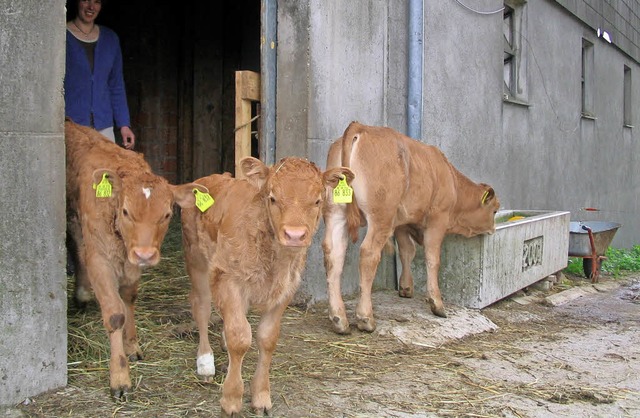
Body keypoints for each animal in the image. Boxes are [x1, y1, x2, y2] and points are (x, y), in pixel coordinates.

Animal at [65, 118, 206, 398]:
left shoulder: (132, 263)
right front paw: (120, 377)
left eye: (166, 214)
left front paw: (131, 346)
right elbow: (115, 314)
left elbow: (129, 299)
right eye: (126, 211)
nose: (145, 254)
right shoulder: (100, 258)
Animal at [181, 156, 356, 414]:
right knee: (201, 307)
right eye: (272, 198)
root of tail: (211, 178)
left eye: (317, 200)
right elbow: (240, 338)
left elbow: (267, 338)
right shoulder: (227, 278)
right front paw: (231, 399)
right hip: (197, 261)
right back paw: (205, 362)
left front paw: (261, 397)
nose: (295, 235)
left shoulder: (285, 290)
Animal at [322, 121, 498, 334]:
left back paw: (339, 319)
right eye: (495, 211)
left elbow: (407, 251)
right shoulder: (437, 219)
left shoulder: (403, 223)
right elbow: (432, 259)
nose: (493, 230)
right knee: (368, 254)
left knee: (333, 256)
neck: (451, 180)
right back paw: (365, 318)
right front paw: (437, 303)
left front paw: (405, 287)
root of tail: (361, 127)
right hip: (381, 216)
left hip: (336, 213)